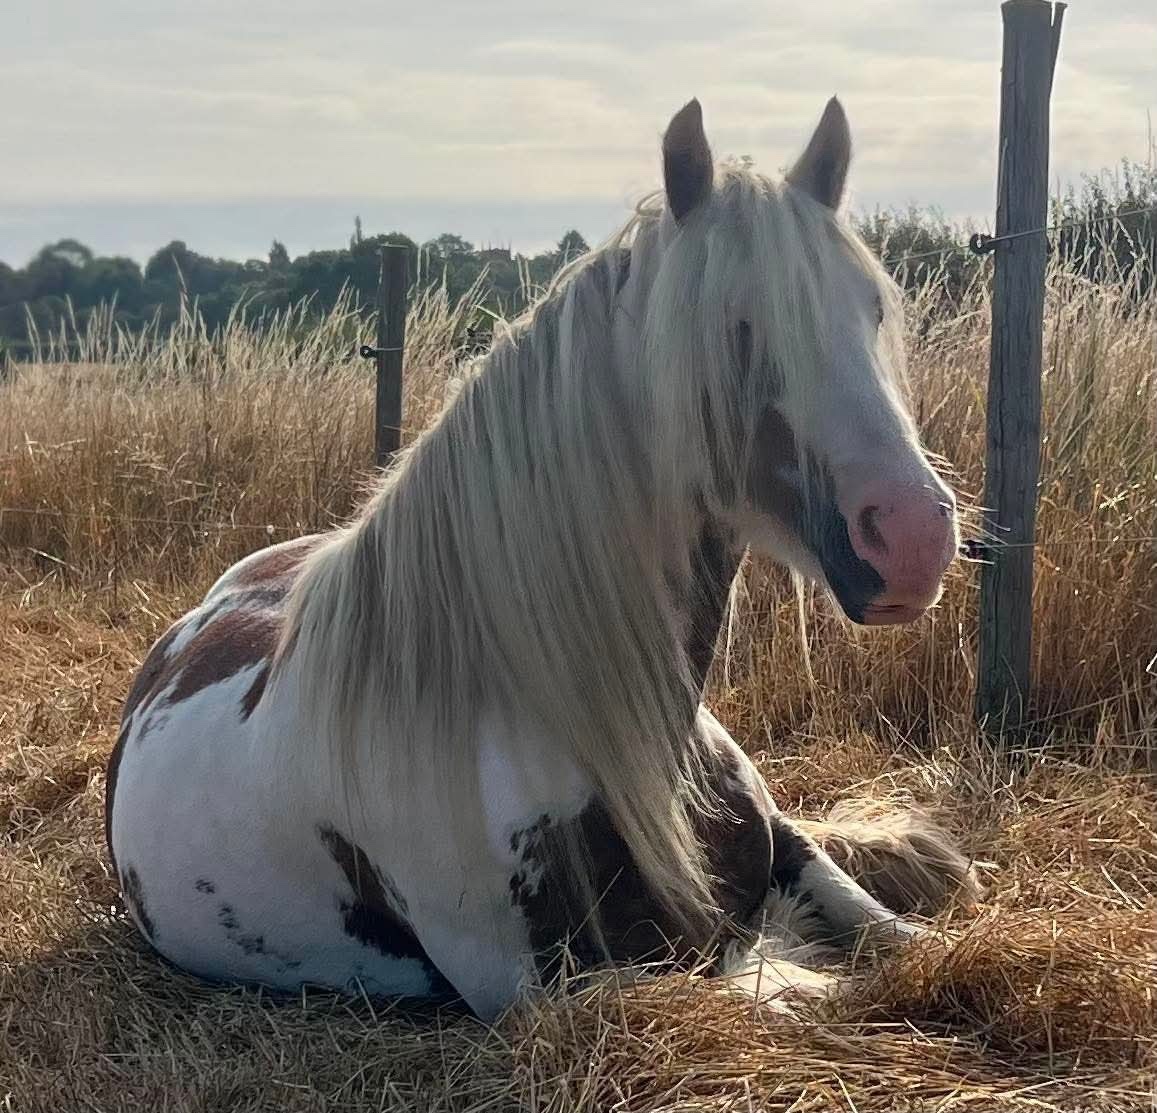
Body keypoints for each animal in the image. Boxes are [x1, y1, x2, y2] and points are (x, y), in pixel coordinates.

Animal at [105, 97, 972, 1020]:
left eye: (871, 309)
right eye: (730, 328)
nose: (912, 536)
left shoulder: (784, 855)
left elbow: (893, 936)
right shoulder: (545, 989)